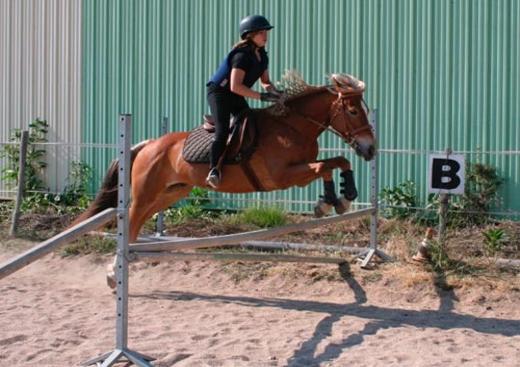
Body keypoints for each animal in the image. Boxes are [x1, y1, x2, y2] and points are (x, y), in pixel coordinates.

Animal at [73, 73, 374, 288]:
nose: (370, 149)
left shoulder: (299, 173)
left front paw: (339, 200)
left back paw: (124, 264)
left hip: (171, 193)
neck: (292, 127)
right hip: (147, 192)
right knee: (131, 221)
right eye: (354, 111)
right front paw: (333, 201)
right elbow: (326, 165)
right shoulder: (284, 177)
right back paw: (114, 272)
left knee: (137, 224)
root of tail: (148, 145)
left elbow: (337, 162)